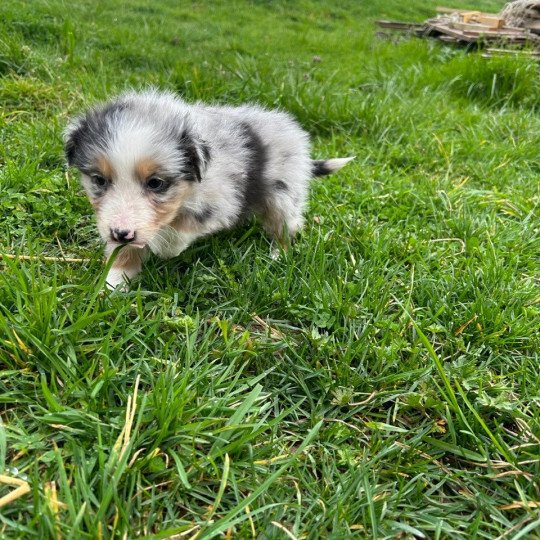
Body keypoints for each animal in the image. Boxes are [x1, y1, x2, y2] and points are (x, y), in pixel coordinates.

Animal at [64, 90, 354, 288]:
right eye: (99, 180)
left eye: (156, 183)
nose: (121, 233)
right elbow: (122, 251)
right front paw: (115, 281)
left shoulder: (223, 199)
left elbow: (184, 227)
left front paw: (165, 248)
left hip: (282, 194)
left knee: (287, 225)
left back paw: (277, 254)